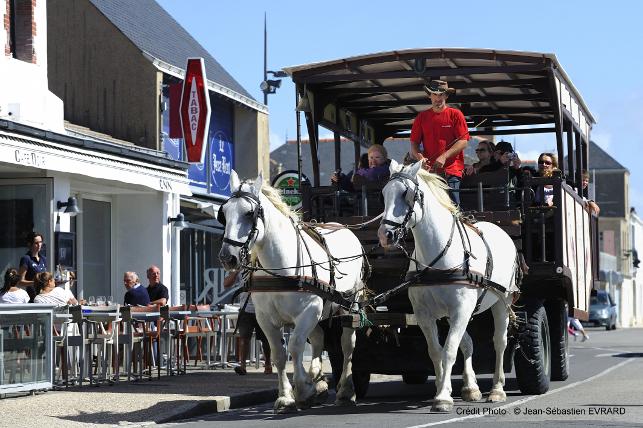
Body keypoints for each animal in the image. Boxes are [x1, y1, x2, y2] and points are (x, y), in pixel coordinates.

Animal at [219, 170, 364, 412]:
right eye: (224, 213)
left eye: (249, 213)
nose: (227, 257)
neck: (280, 268)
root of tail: (343, 227)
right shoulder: (265, 318)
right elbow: (279, 354)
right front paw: (288, 395)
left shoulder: (309, 310)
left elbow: (295, 347)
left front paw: (303, 390)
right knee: (318, 338)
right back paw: (318, 379)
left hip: (350, 305)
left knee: (347, 345)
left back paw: (344, 390)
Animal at [378, 160, 520, 412]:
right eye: (384, 194)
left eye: (407, 194)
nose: (386, 235)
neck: (437, 258)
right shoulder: (425, 314)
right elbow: (436, 352)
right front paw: (442, 389)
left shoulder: (460, 310)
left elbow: (450, 350)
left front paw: (443, 396)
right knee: (469, 344)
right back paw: (471, 387)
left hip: (501, 302)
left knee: (500, 342)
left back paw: (497, 389)